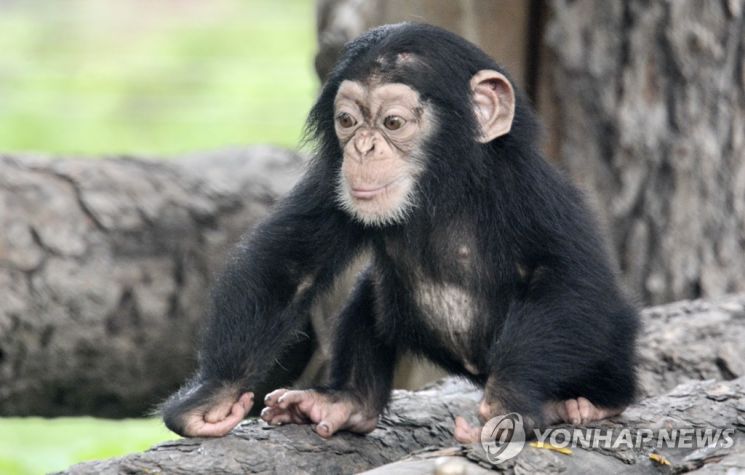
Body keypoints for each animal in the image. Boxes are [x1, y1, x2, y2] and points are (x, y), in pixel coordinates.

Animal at [160, 22, 636, 444]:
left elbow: (566, 280)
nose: (363, 149)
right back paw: (347, 401)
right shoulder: (330, 183)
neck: (442, 190)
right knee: (370, 295)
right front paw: (211, 396)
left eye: (392, 123)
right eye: (348, 120)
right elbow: (290, 264)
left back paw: (585, 403)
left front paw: (509, 404)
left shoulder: (530, 193)